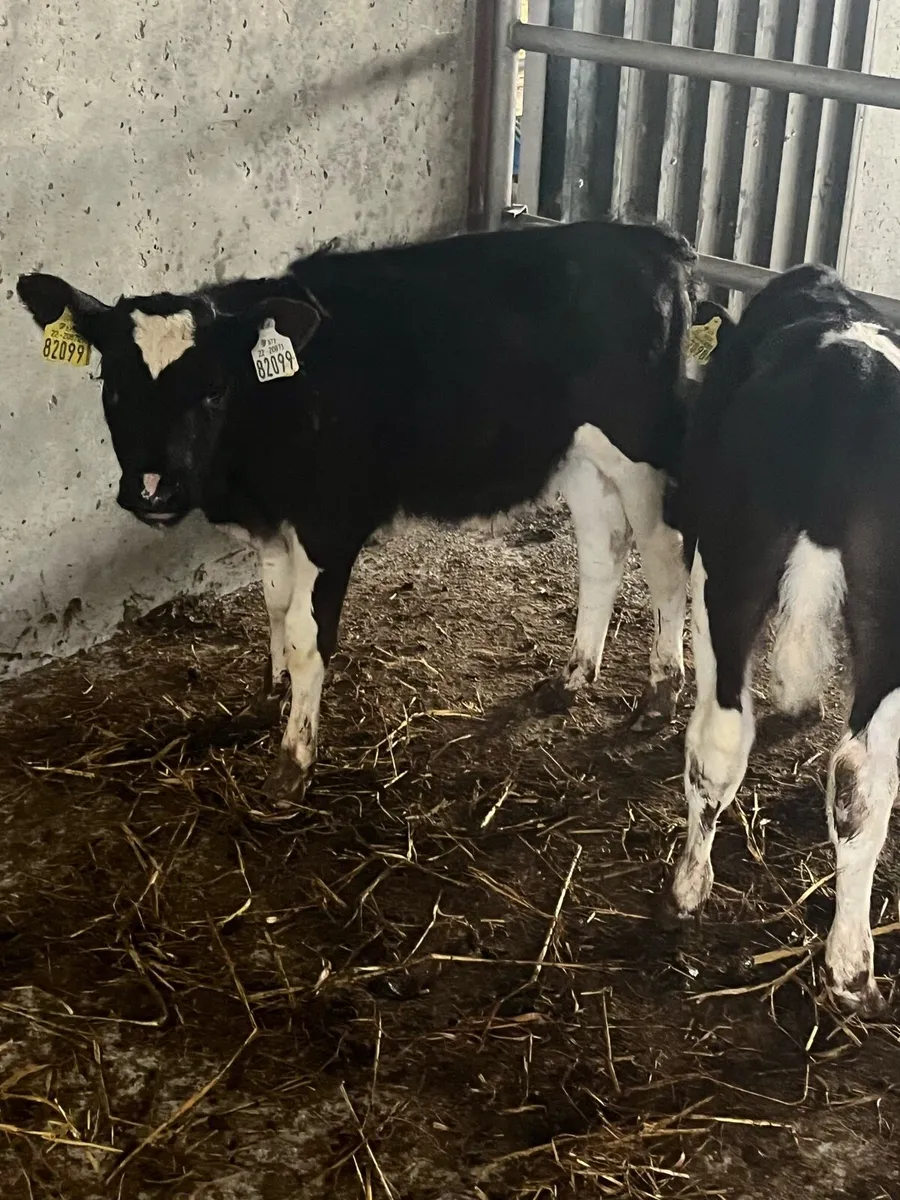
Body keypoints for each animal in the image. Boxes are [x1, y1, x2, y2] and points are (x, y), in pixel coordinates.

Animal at [18, 219, 695, 804]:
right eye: (112, 386)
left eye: (213, 389)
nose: (154, 490)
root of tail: (650, 239)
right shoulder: (271, 520)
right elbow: (273, 605)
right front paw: (269, 699)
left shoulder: (329, 523)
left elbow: (304, 633)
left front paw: (293, 761)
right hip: (580, 454)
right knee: (602, 554)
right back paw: (573, 676)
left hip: (641, 446)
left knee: (665, 559)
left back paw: (658, 696)